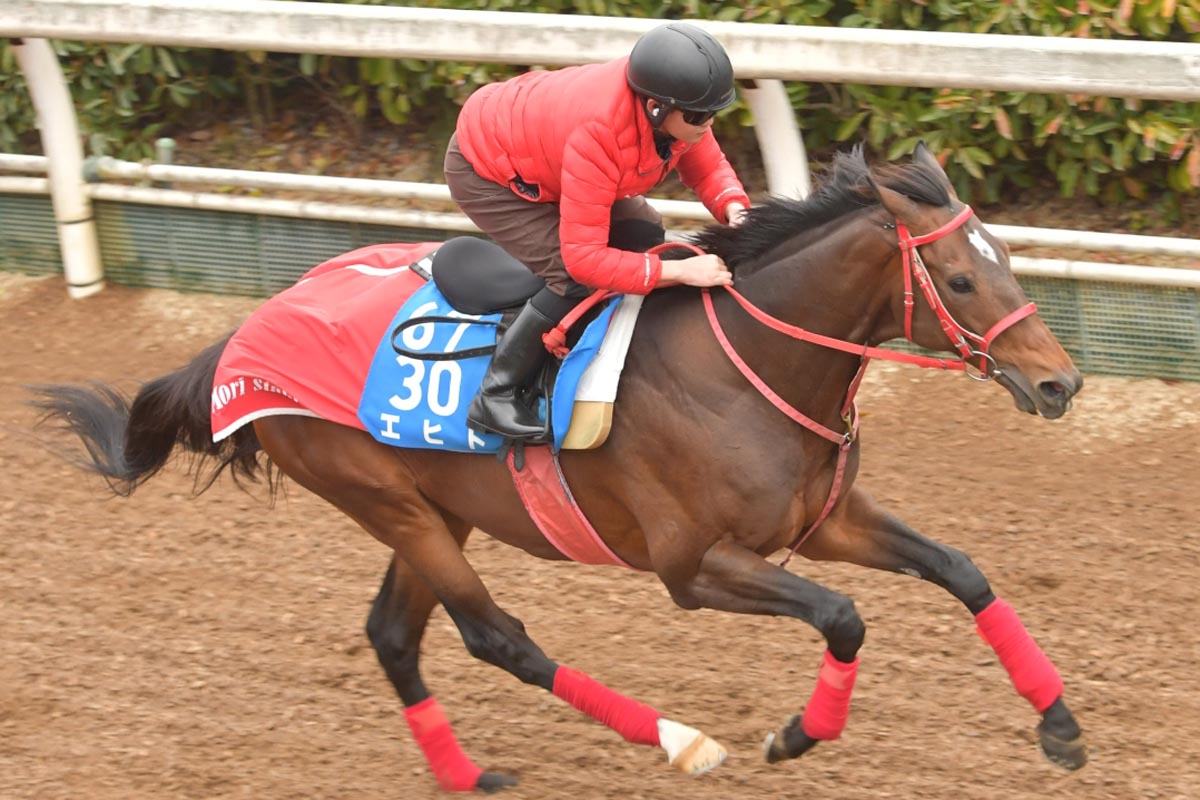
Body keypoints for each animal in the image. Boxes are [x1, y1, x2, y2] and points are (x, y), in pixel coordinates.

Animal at [32, 143, 1086, 792]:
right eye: (960, 278)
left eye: (1008, 259)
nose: (1061, 382)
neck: (746, 363)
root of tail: (248, 330)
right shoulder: (693, 568)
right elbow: (844, 616)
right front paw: (795, 734)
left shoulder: (824, 521)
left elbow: (961, 569)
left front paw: (1061, 726)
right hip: (382, 497)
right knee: (498, 639)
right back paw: (679, 742)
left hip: (434, 506)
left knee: (393, 636)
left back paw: (466, 777)